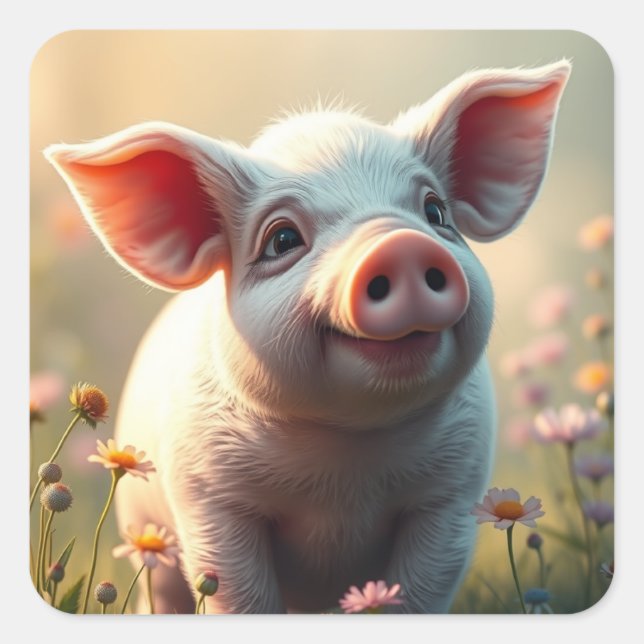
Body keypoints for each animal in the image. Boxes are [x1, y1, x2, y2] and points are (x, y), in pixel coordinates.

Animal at [45, 61, 570, 614]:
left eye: (435, 213)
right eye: (282, 239)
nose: (401, 243)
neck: (346, 462)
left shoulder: (453, 492)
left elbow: (420, 588)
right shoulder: (209, 493)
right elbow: (237, 591)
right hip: (146, 530)